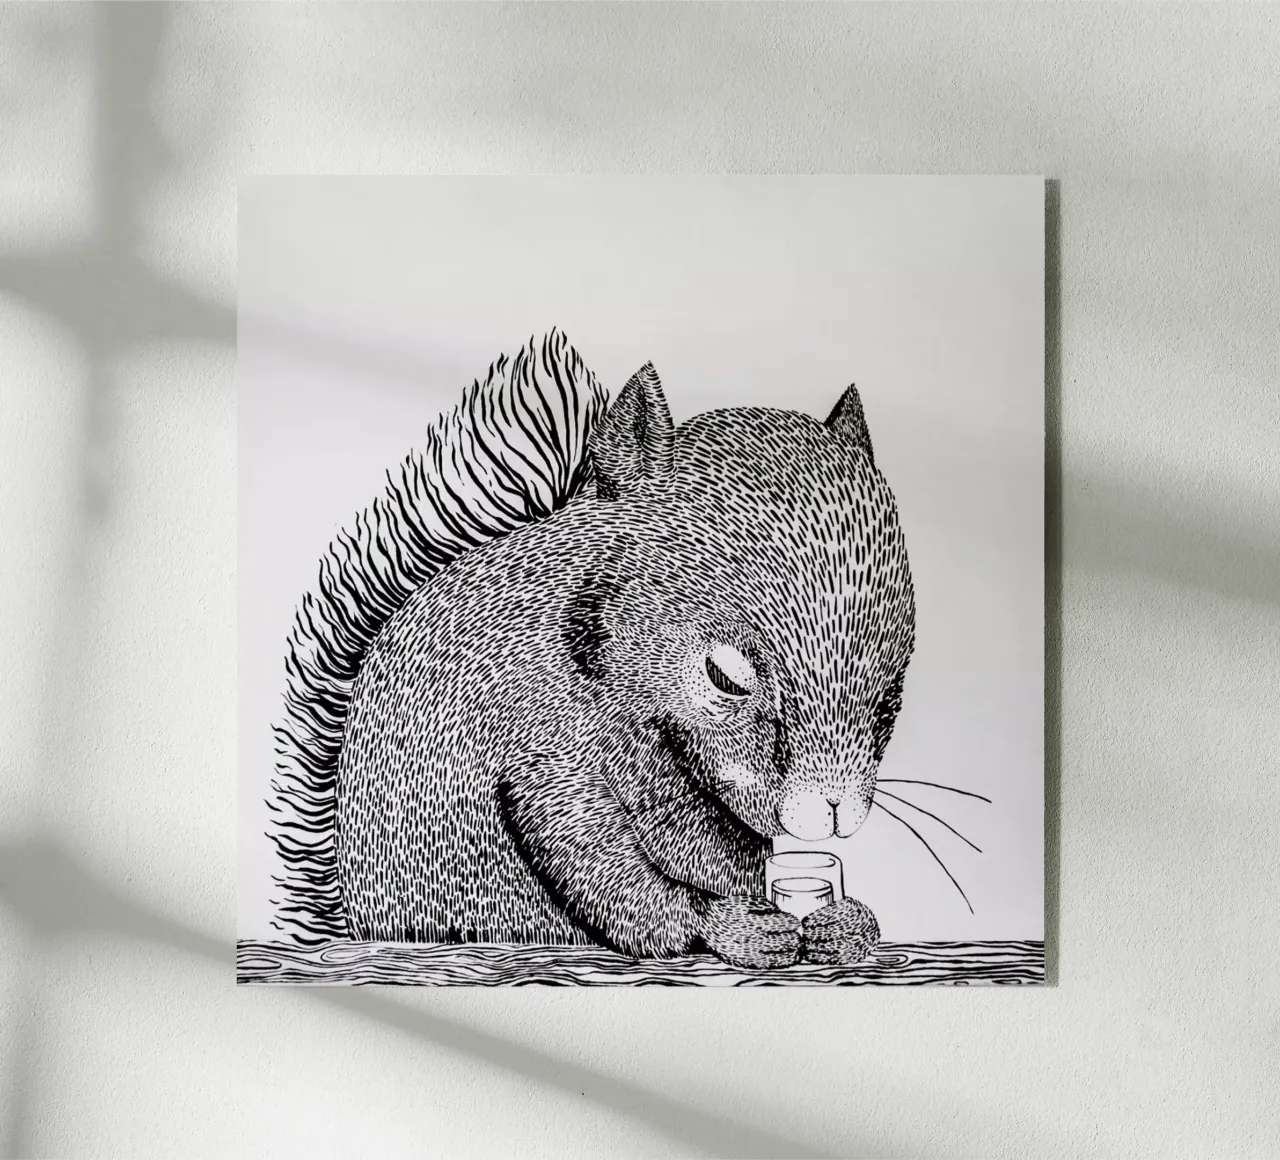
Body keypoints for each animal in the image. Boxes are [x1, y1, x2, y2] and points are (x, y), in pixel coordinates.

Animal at [268, 330, 915, 970]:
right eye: (724, 678)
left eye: (892, 700)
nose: (829, 816)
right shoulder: (540, 738)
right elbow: (586, 848)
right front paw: (730, 926)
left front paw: (844, 922)